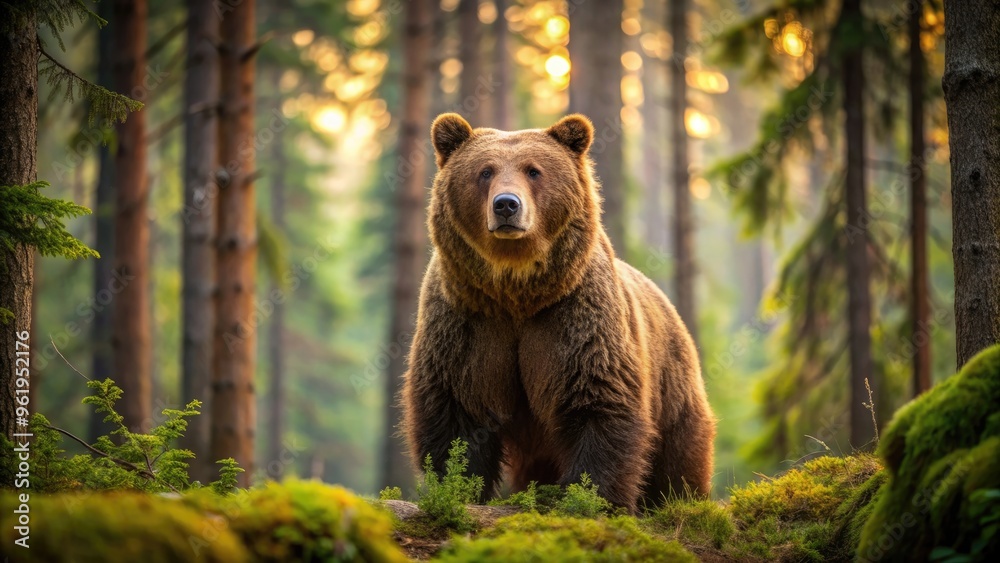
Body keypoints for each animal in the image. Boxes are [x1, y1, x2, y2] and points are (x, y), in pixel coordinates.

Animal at [401, 113, 715, 511]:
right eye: (485, 171)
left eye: (534, 170)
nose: (507, 205)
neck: (516, 291)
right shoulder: (467, 322)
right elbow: (456, 412)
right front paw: (460, 488)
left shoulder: (575, 318)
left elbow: (597, 400)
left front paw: (592, 497)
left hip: (672, 382)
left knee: (679, 455)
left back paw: (679, 498)